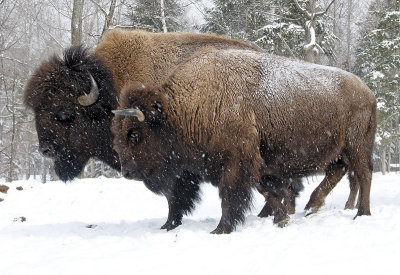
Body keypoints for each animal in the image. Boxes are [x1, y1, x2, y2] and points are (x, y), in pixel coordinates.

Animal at [111, 48, 376, 234]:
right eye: (116, 134)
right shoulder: (252, 162)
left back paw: (361, 213)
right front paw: (281, 218)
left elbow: (232, 194)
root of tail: (368, 92)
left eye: (134, 133)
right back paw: (312, 207)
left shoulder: (236, 161)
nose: (126, 171)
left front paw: (221, 229)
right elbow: (264, 188)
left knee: (363, 175)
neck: (179, 109)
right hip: (339, 151)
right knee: (337, 172)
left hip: (356, 146)